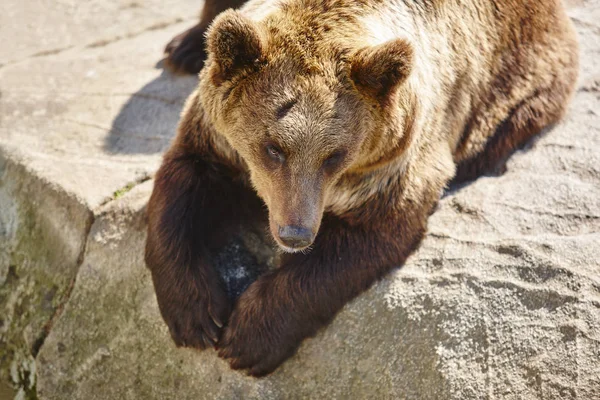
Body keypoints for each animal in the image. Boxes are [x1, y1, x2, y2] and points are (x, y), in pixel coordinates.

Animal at [144, 0, 576, 376]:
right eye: (273, 147)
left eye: (334, 155)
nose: (295, 233)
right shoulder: (215, 136)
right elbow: (181, 185)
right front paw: (197, 315)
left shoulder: (393, 163)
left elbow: (362, 240)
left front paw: (247, 338)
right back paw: (183, 46)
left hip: (519, 80)